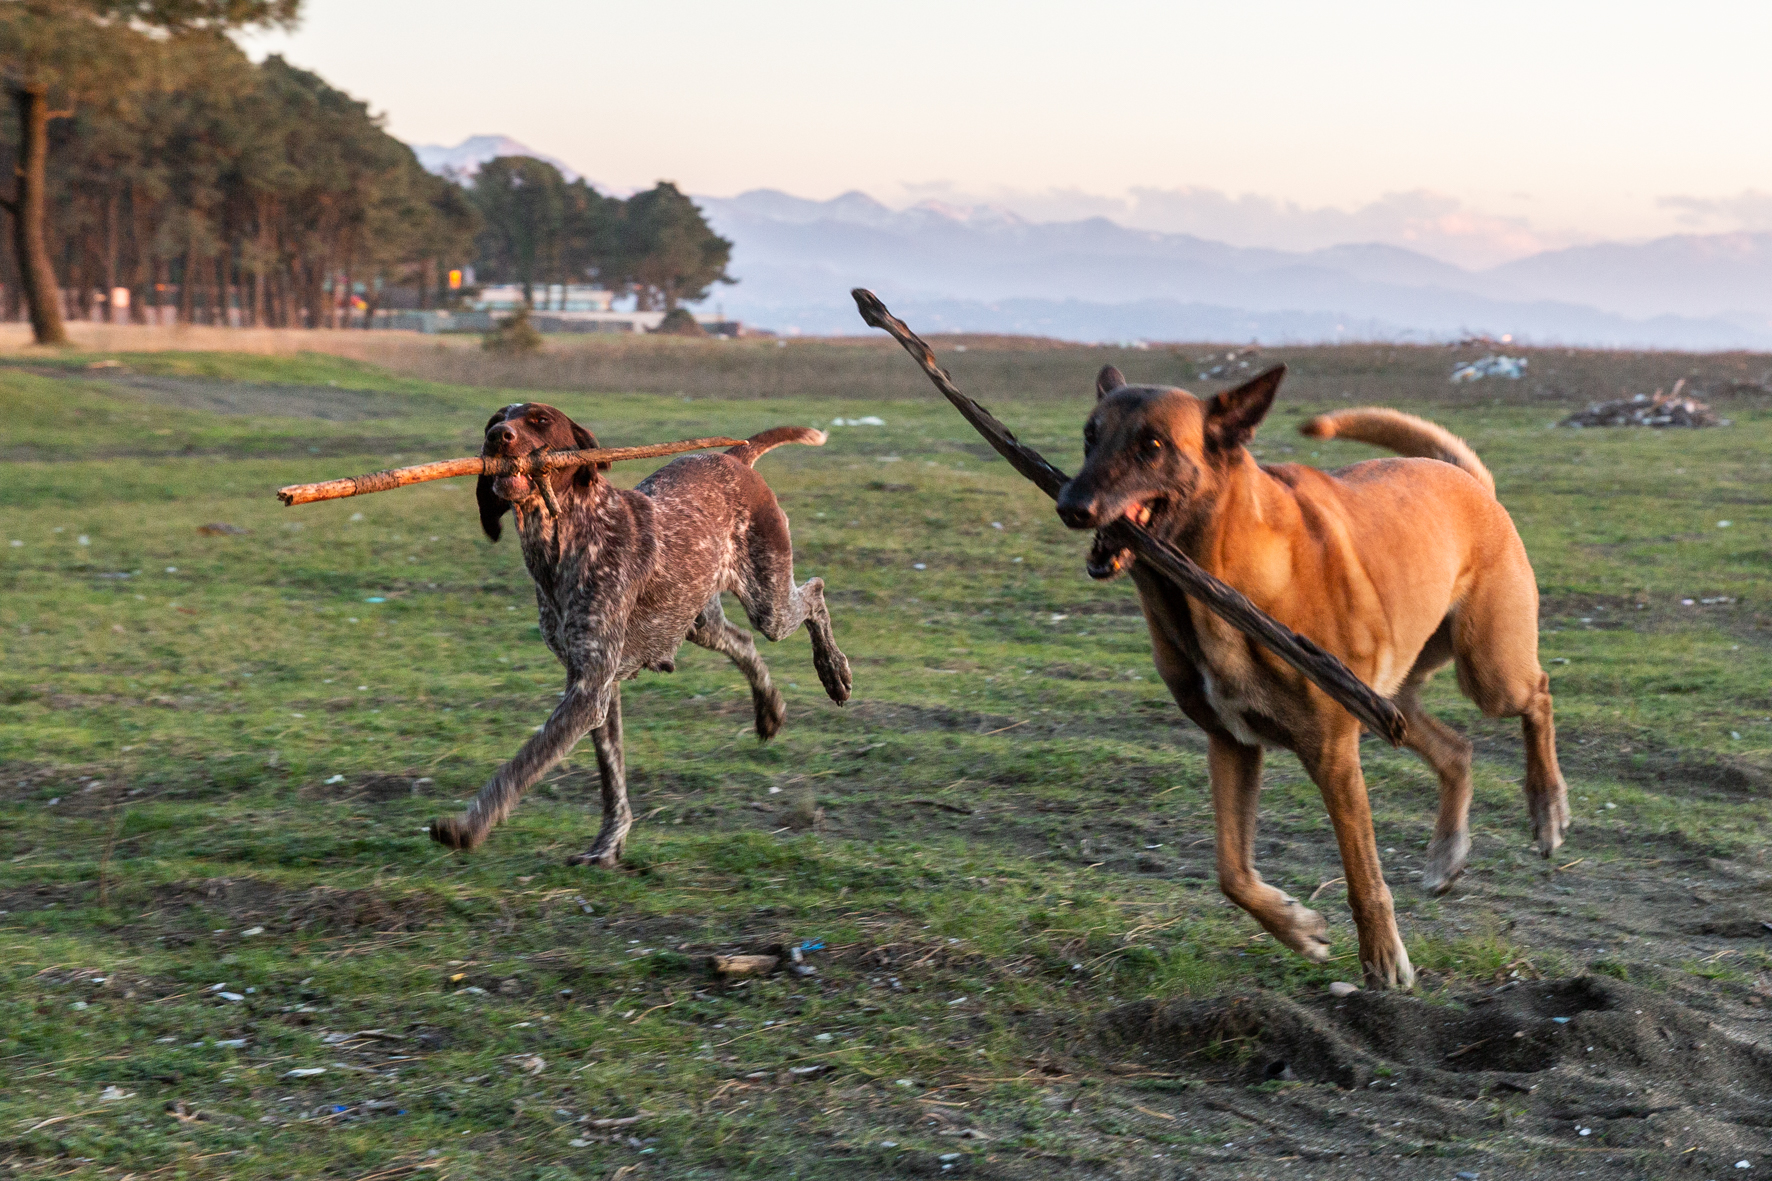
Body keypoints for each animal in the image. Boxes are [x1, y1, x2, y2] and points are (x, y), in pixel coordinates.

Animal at [421, 400, 850, 861]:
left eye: (540, 420)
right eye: (494, 420)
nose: (498, 436)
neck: (564, 539)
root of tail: (732, 457)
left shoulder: (588, 690)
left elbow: (524, 762)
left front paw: (470, 825)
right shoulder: (595, 686)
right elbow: (612, 779)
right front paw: (608, 844)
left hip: (768, 602)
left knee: (814, 594)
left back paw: (833, 670)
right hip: (698, 621)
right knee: (743, 641)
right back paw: (769, 709)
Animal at [1049, 365, 1566, 985]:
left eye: (1153, 445)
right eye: (1090, 436)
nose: (1071, 505)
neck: (1213, 580)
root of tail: (1469, 481)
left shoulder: (1332, 753)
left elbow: (1364, 876)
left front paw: (1383, 958)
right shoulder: (1231, 742)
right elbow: (1231, 872)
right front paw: (1298, 928)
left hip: (1488, 670)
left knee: (1537, 696)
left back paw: (1547, 808)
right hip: (1391, 702)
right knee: (1457, 751)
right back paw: (1447, 851)